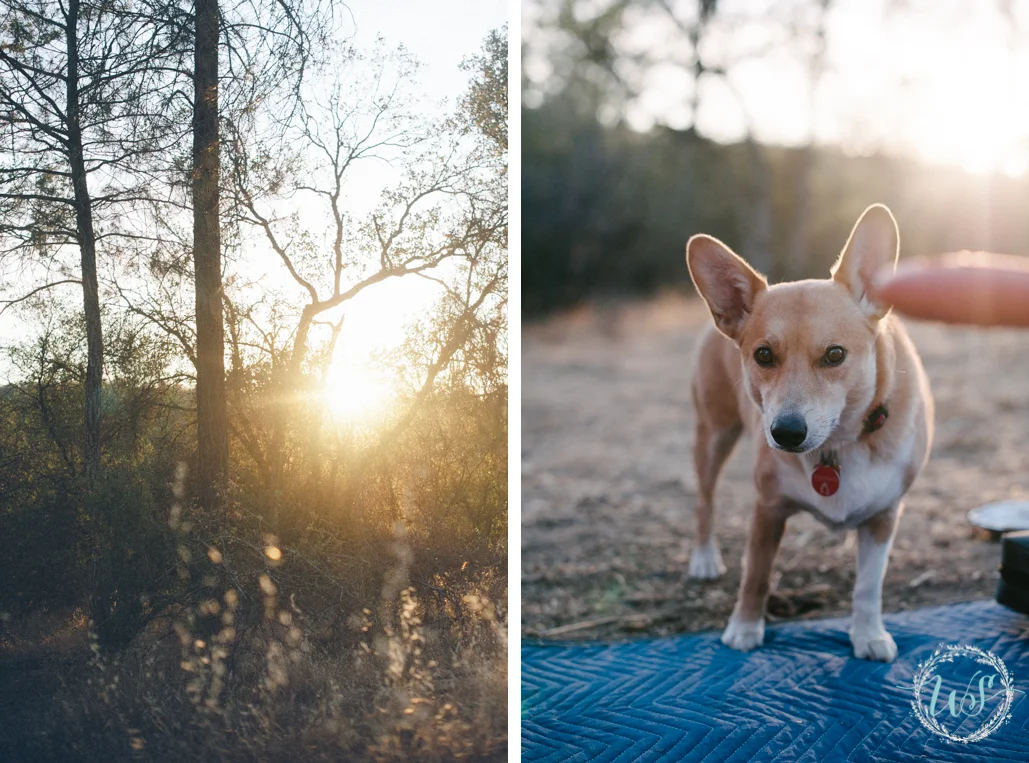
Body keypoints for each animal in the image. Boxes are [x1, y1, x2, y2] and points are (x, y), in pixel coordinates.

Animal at [683, 203, 934, 659]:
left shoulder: (885, 516)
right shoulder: (768, 509)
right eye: (764, 355)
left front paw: (868, 634)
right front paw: (744, 628)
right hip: (713, 434)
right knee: (704, 502)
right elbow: (756, 575)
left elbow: (868, 586)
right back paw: (704, 558)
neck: (836, 446)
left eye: (835, 355)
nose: (785, 433)